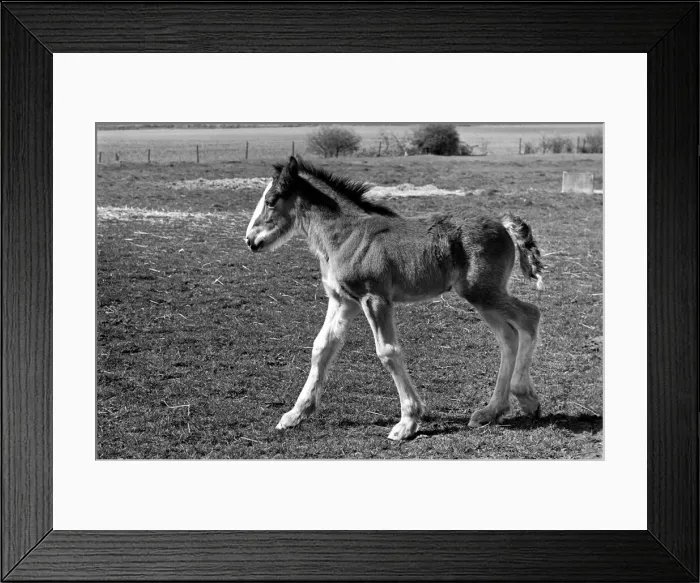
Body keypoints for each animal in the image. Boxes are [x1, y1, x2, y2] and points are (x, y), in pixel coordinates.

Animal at [245, 156, 545, 441]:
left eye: (271, 201)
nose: (250, 240)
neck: (346, 235)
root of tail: (502, 224)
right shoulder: (343, 301)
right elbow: (322, 347)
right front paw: (295, 414)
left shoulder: (374, 298)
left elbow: (388, 352)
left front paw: (407, 422)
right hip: (482, 297)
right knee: (508, 336)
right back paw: (492, 411)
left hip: (482, 292)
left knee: (530, 316)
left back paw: (525, 397)